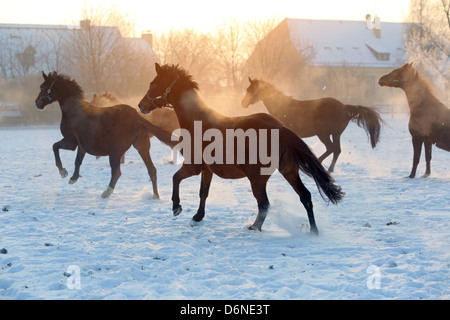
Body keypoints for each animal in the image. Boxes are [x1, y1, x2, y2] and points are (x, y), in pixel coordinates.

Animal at [34, 71, 176, 199]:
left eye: (43, 87)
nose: (37, 103)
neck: (74, 110)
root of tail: (135, 115)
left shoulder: (70, 142)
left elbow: (55, 147)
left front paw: (62, 172)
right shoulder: (82, 146)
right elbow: (77, 161)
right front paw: (73, 178)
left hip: (115, 151)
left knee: (117, 172)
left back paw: (107, 192)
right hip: (141, 147)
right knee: (152, 170)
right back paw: (155, 195)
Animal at [139, 63, 342, 235]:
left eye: (154, 83)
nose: (141, 105)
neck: (197, 121)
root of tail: (280, 128)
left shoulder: (193, 166)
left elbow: (175, 178)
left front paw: (176, 208)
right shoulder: (207, 170)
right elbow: (203, 192)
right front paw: (197, 216)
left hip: (257, 178)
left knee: (264, 204)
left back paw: (254, 227)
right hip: (289, 171)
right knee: (305, 196)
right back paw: (313, 231)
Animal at [239, 77, 384, 172]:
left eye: (251, 90)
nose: (243, 103)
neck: (283, 107)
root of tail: (344, 107)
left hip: (324, 134)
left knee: (332, 149)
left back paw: (322, 165)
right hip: (334, 134)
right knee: (336, 150)